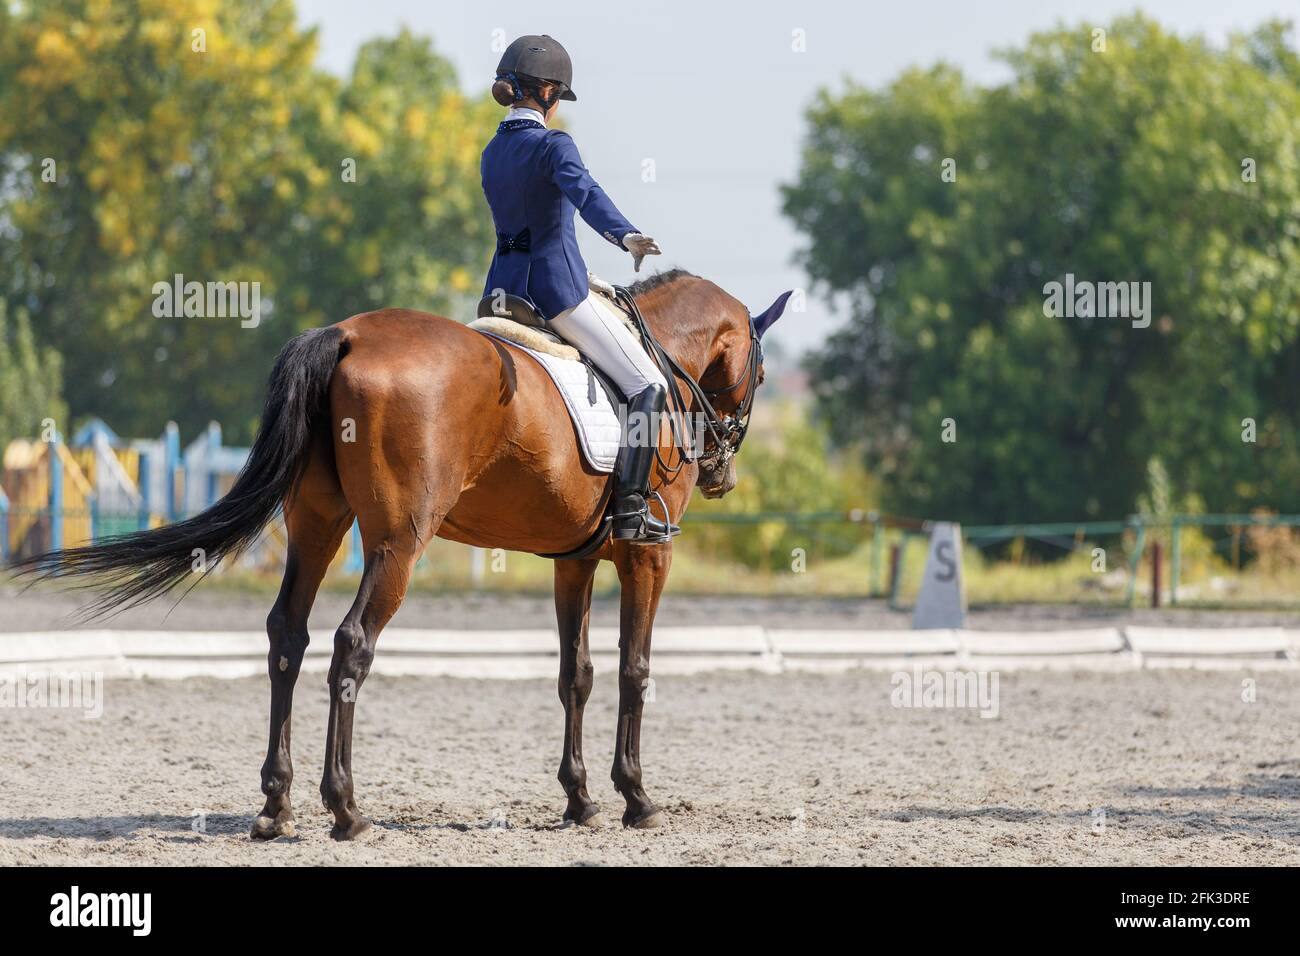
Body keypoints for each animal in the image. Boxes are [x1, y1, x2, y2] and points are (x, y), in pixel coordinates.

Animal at [13, 268, 791, 838]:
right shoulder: (645, 559)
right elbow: (635, 670)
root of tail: (346, 335)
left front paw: (580, 801)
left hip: (317, 525)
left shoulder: (574, 559)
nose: (719, 473)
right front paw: (636, 799)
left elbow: (577, 675)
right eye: (759, 375)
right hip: (398, 543)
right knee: (351, 644)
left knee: (287, 637)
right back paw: (346, 810)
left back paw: (277, 807)